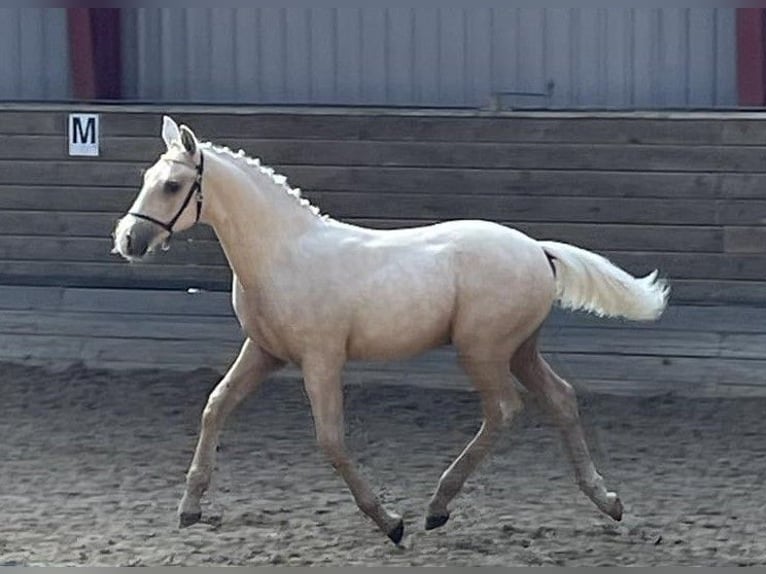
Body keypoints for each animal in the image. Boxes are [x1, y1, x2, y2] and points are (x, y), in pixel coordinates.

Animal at [111, 118, 668, 548]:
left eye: (172, 186)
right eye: (148, 177)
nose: (128, 240)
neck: (282, 252)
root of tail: (537, 249)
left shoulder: (320, 359)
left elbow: (331, 440)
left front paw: (391, 523)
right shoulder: (264, 352)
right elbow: (216, 405)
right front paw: (189, 509)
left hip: (482, 350)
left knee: (505, 409)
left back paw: (437, 507)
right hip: (519, 350)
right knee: (561, 398)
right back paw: (607, 501)